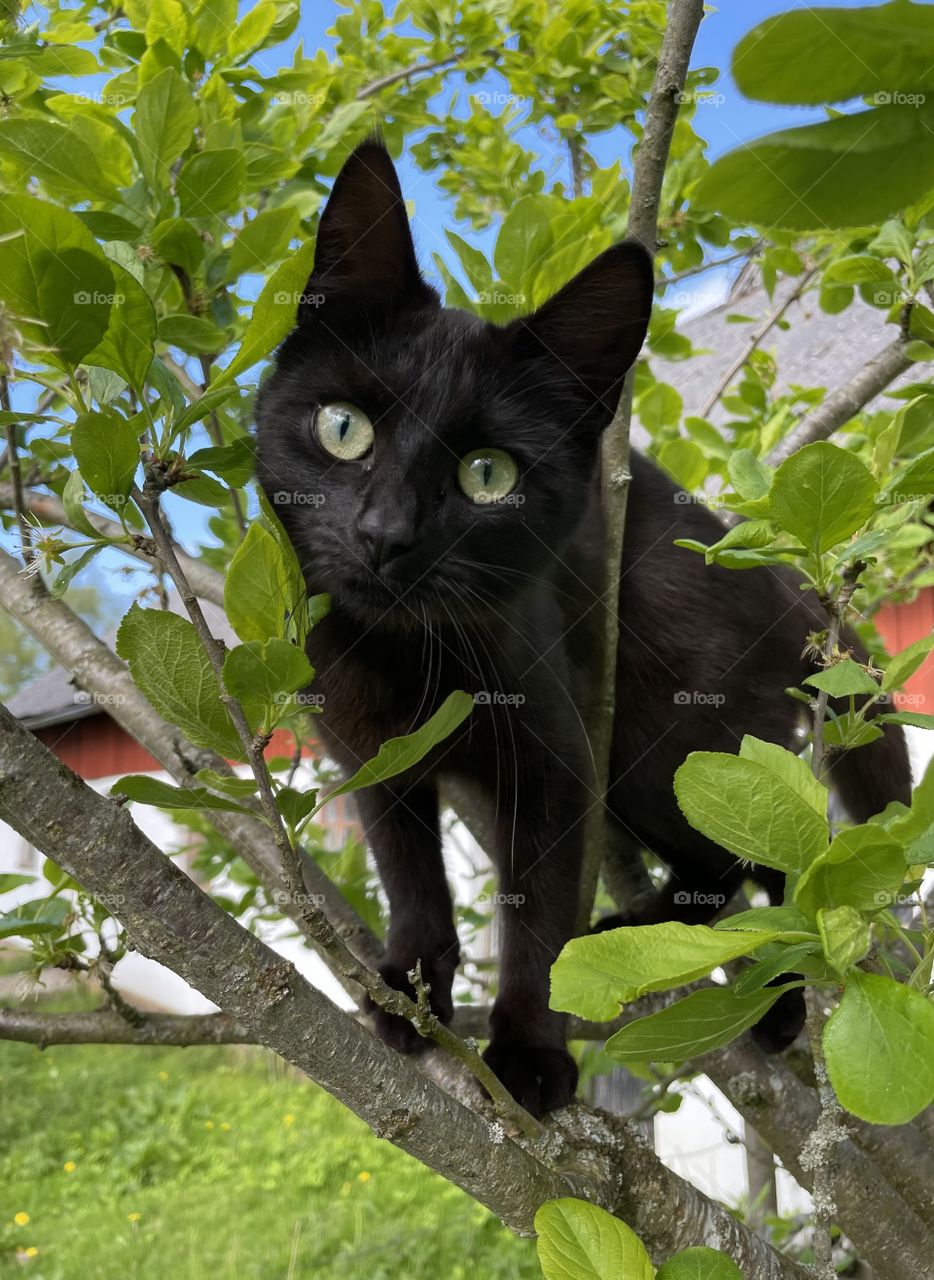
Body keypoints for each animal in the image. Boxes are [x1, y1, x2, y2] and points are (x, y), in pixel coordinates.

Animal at [253, 142, 900, 1121]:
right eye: (343, 428)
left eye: (488, 475)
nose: (384, 534)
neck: (403, 655)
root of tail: (789, 582)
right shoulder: (368, 750)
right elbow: (407, 867)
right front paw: (410, 986)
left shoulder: (558, 760)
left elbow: (541, 910)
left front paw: (528, 1052)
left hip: (658, 739)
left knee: (766, 858)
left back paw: (739, 982)